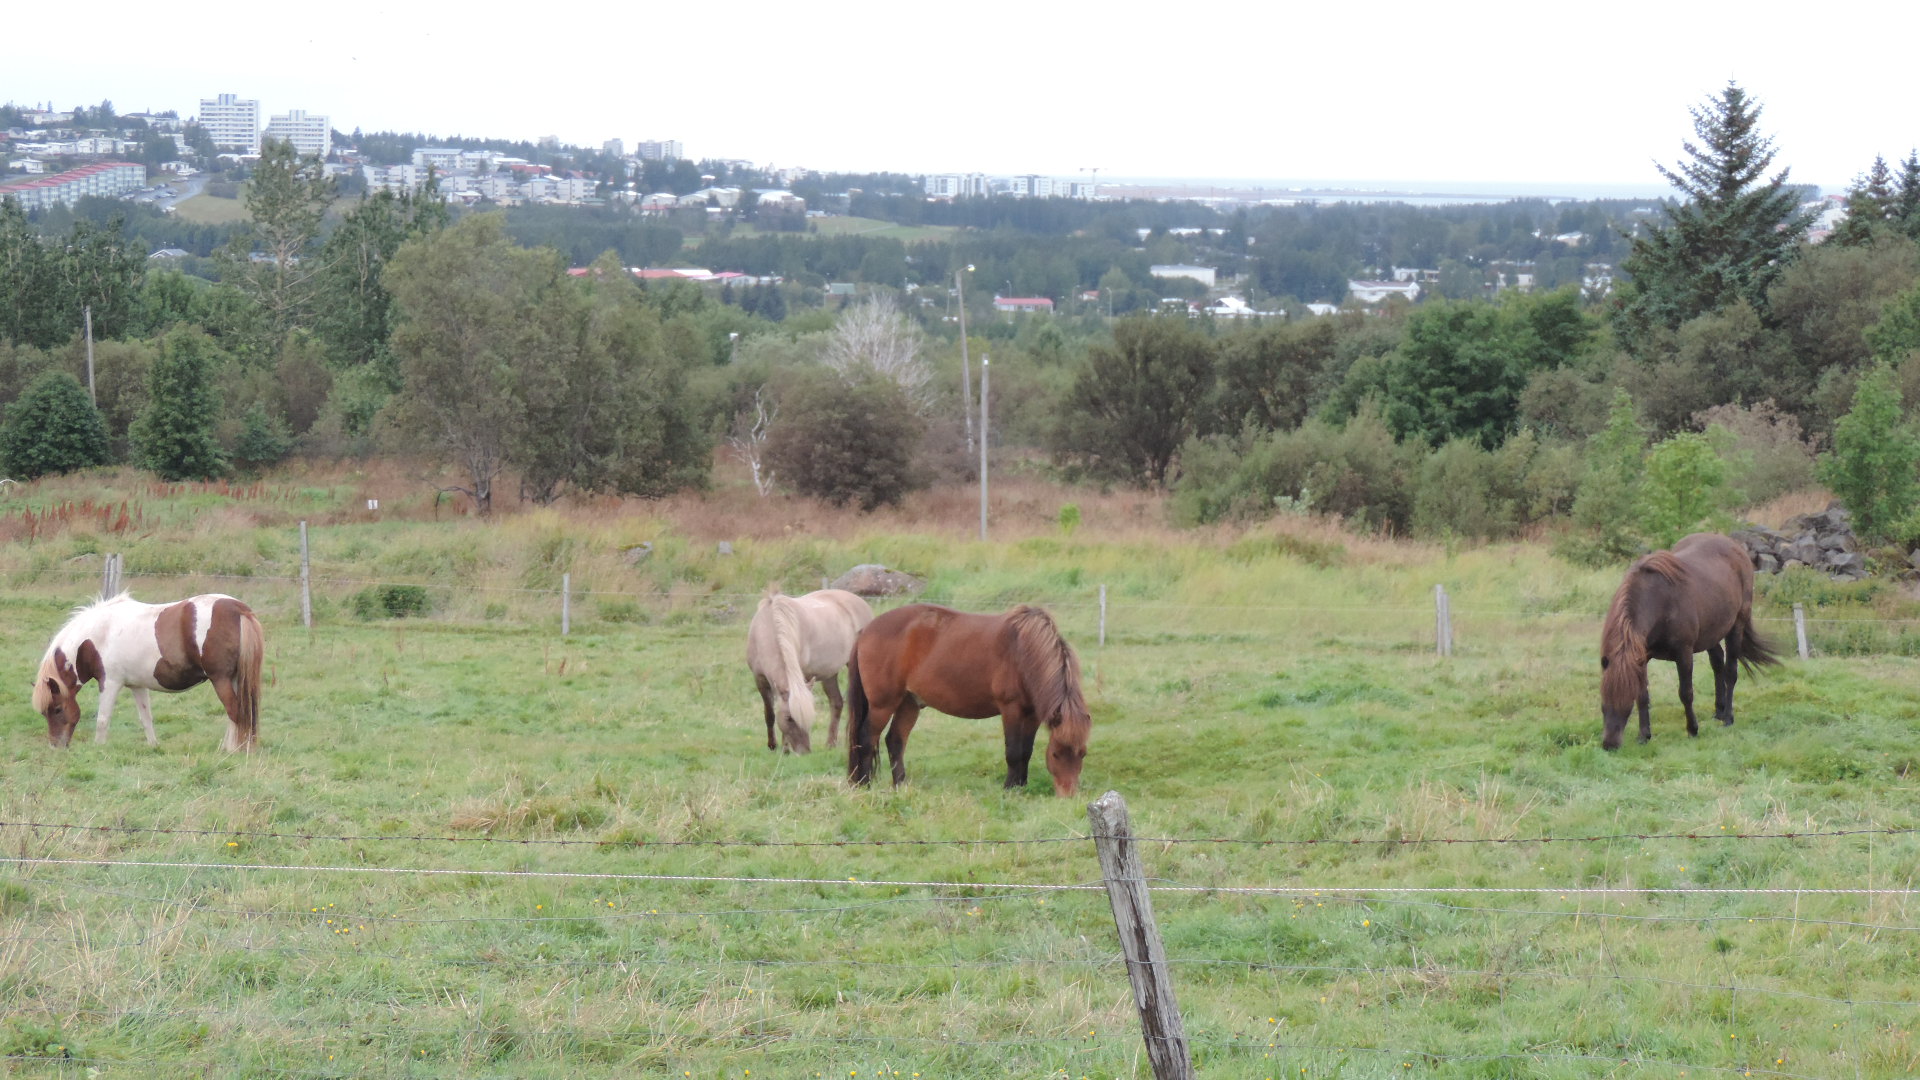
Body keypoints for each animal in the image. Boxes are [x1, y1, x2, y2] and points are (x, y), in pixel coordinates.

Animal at [33, 592, 266, 751]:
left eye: (57, 709)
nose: (56, 746)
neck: (98, 636)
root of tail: (239, 609)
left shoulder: (110, 683)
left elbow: (103, 719)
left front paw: (99, 748)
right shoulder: (137, 685)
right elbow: (146, 718)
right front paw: (154, 746)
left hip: (221, 680)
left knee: (235, 711)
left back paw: (234, 750)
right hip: (234, 679)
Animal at [746, 586, 874, 754]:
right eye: (789, 719)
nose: (805, 752)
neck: (769, 627)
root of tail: (861, 602)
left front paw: (785, 749)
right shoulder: (760, 679)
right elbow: (769, 714)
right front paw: (772, 745)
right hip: (830, 674)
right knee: (837, 703)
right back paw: (830, 744)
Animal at [846, 603, 1090, 796]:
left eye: (1083, 754)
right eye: (1056, 754)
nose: (1068, 796)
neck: (1023, 650)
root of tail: (866, 629)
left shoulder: (1032, 714)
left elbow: (1026, 751)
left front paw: (1021, 785)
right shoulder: (1011, 709)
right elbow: (1013, 751)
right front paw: (1010, 789)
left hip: (909, 703)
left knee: (895, 741)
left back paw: (901, 786)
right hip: (882, 704)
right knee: (867, 737)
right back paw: (863, 785)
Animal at [1599, 532, 1781, 750]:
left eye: (1626, 706)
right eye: (1603, 705)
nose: (1609, 744)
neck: (1659, 602)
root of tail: (1735, 547)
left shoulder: (1683, 653)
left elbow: (1686, 692)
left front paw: (1692, 729)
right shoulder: (1641, 657)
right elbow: (1643, 695)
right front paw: (1644, 735)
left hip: (1736, 626)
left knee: (1730, 672)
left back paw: (1728, 717)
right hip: (1711, 632)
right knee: (1717, 663)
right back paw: (1719, 711)